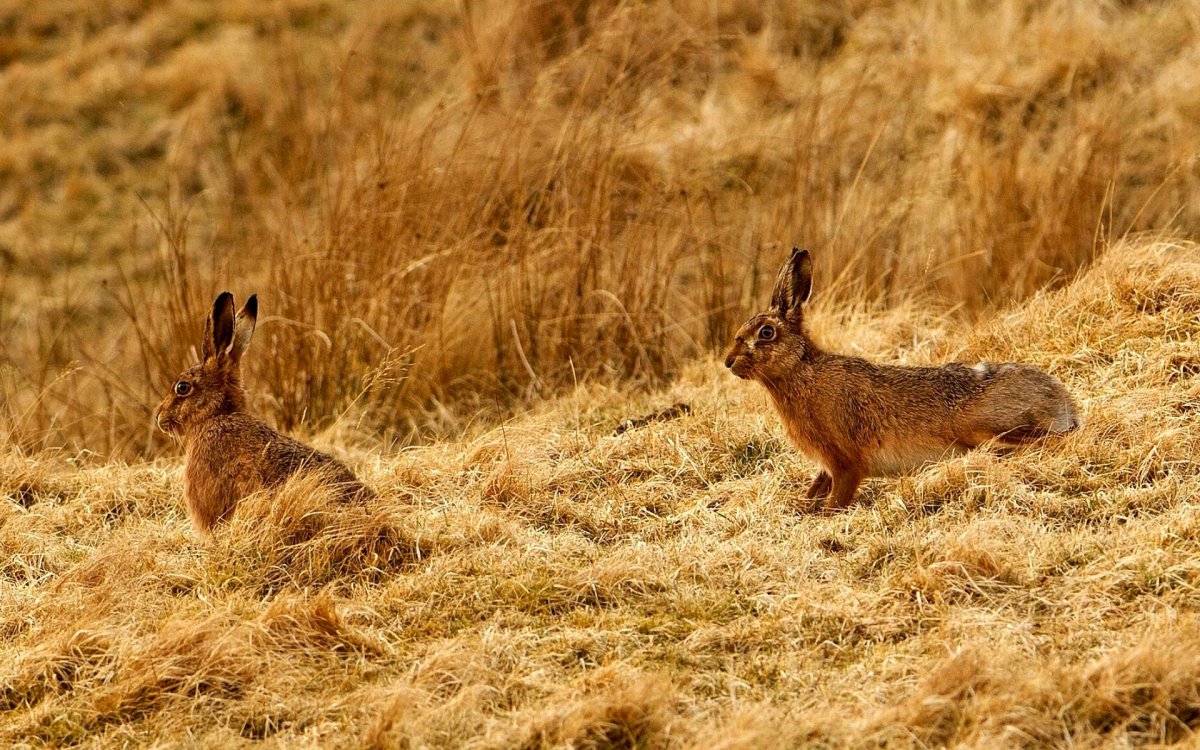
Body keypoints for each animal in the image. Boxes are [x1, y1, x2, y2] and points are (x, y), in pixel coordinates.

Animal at [724, 248, 1080, 512]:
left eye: (766, 333)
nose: (728, 362)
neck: (800, 372)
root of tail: (1063, 403)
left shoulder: (845, 460)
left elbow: (839, 494)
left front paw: (823, 514)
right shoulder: (825, 465)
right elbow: (817, 486)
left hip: (984, 426)